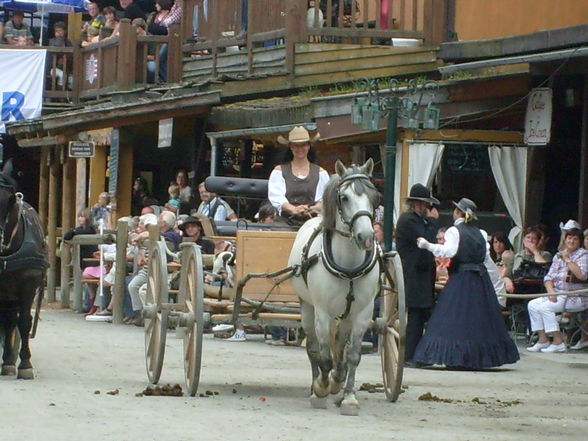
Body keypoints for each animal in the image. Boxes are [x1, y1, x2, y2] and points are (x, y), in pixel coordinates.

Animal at [288, 159, 378, 416]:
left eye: (375, 195)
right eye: (344, 197)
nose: (366, 236)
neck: (348, 266)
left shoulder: (363, 313)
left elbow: (353, 356)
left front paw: (348, 397)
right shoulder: (322, 312)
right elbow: (324, 357)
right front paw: (321, 388)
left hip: (346, 315)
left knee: (339, 347)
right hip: (307, 308)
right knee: (314, 350)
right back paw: (316, 387)